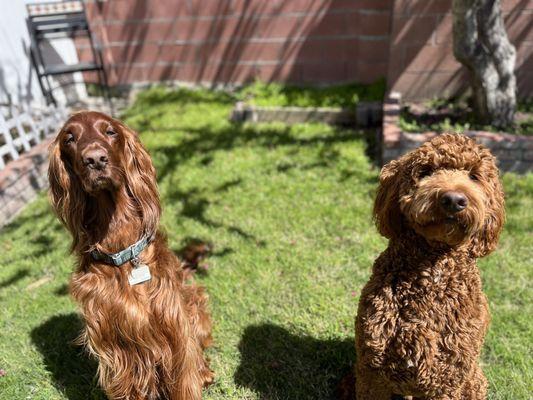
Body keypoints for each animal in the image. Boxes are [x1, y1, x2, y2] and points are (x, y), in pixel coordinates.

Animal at [48, 111, 214, 400]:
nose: (95, 159)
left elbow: (185, 374)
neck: (122, 248)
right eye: (69, 138)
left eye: (110, 132)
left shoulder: (174, 325)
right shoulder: (114, 343)